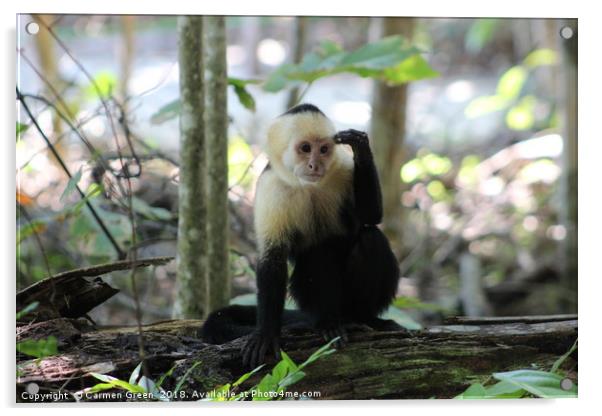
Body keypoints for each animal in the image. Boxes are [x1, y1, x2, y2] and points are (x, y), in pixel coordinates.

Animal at [199, 103, 400, 368]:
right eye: (305, 148)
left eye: (323, 149)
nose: (315, 165)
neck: (307, 185)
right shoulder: (270, 188)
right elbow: (272, 258)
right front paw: (266, 334)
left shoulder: (343, 168)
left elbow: (370, 217)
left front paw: (360, 145)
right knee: (317, 256)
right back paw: (327, 323)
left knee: (369, 238)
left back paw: (364, 318)